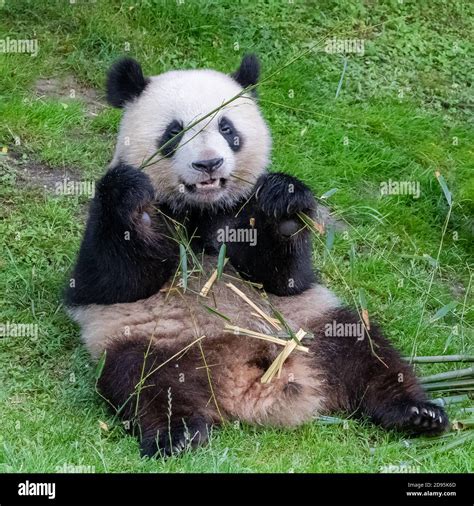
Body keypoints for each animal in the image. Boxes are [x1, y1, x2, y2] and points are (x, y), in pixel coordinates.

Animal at [65, 55, 448, 458]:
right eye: (174, 131)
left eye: (227, 128)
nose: (209, 164)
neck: (202, 208)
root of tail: (246, 381)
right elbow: (111, 279)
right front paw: (130, 199)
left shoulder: (241, 211)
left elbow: (284, 276)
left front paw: (283, 206)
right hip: (146, 339)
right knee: (144, 381)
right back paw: (177, 434)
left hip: (310, 324)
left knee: (367, 351)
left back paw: (416, 413)